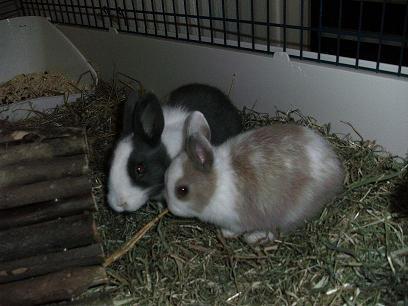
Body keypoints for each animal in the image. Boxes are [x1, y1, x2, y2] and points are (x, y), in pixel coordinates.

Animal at [163, 110, 344, 244]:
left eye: (182, 190)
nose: (171, 208)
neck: (216, 184)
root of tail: (335, 167)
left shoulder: (237, 219)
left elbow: (235, 228)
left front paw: (226, 234)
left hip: (292, 211)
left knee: (277, 230)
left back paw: (253, 238)